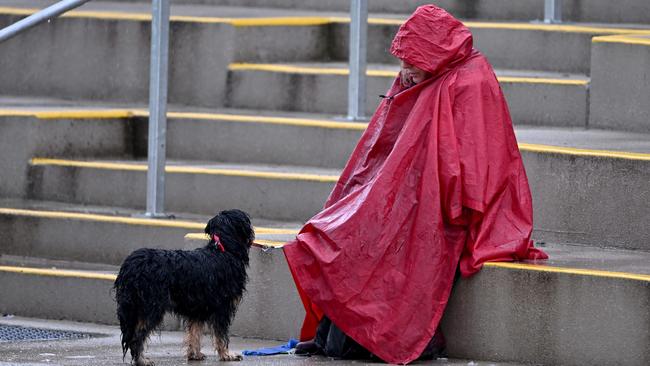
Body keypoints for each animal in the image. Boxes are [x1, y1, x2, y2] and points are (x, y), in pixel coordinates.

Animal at [114, 209, 253, 366]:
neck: (223, 250)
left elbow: (195, 332)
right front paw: (227, 355)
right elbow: (221, 334)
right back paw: (141, 360)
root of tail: (131, 265)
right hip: (151, 307)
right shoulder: (222, 307)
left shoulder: (198, 308)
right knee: (137, 335)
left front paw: (195, 354)